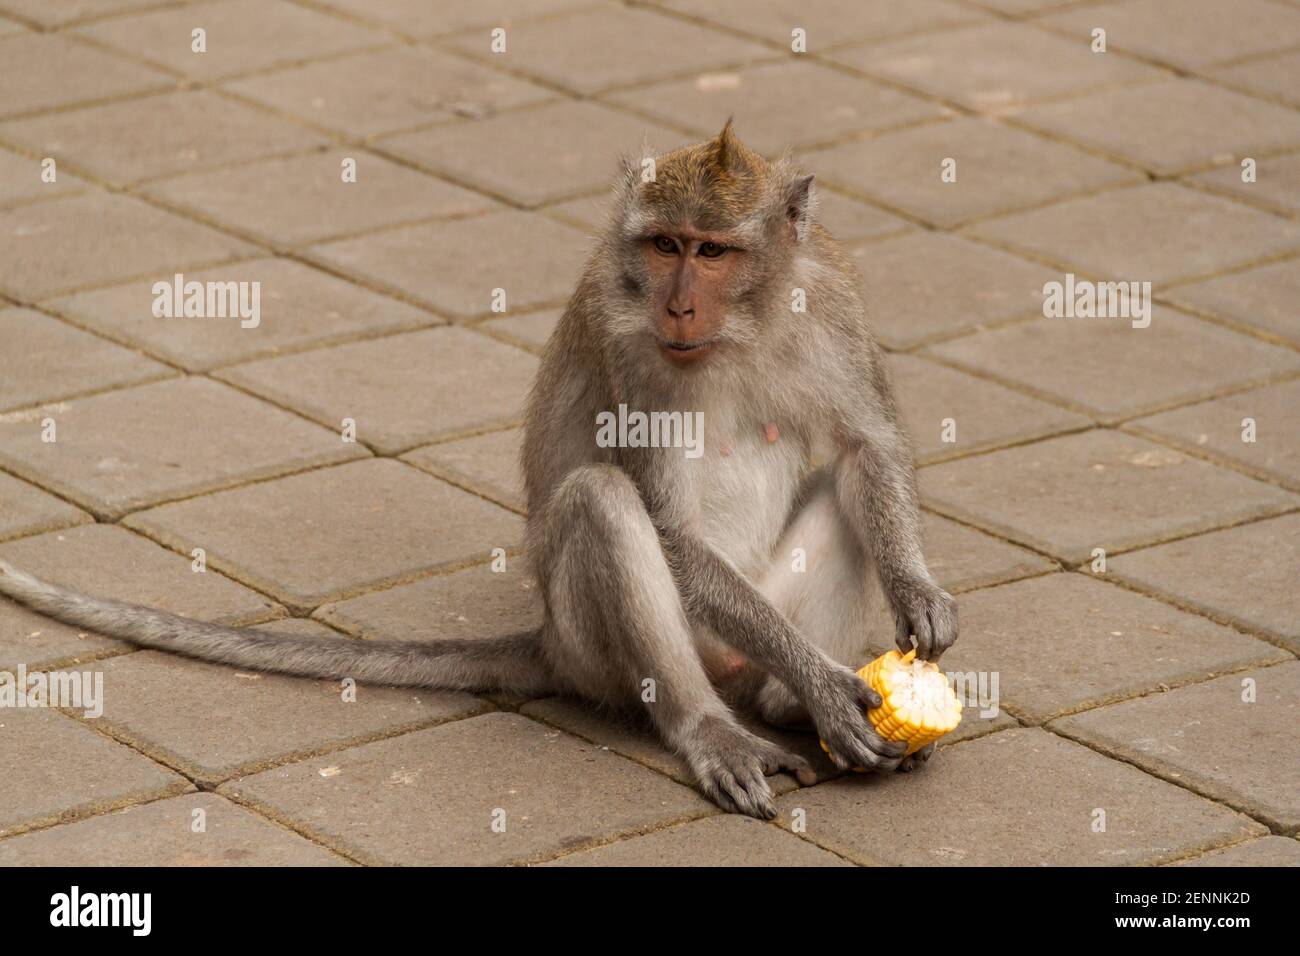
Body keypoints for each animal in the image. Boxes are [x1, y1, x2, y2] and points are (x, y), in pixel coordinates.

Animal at [0, 122, 956, 819]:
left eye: (713, 251)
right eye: (664, 244)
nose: (679, 304)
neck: (739, 332)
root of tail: (552, 646)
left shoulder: (832, 302)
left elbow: (867, 449)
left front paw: (916, 598)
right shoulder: (626, 343)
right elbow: (669, 529)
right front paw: (829, 687)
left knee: (837, 489)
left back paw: (788, 701)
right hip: (601, 652)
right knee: (601, 501)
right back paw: (715, 727)